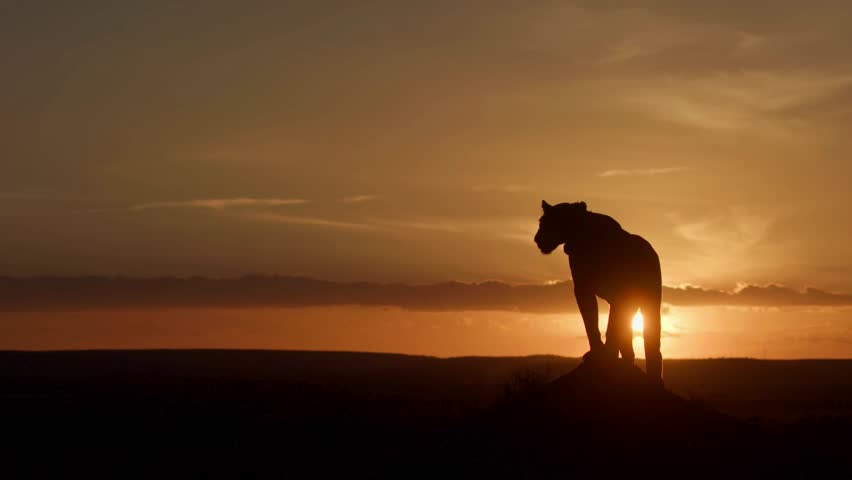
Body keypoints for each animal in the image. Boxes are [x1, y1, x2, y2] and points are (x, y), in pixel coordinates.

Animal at [534, 200, 663, 383]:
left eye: (552, 221)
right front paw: (597, 353)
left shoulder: (619, 295)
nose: (537, 238)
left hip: (649, 301)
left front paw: (607, 354)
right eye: (541, 221)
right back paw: (627, 360)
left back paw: (654, 378)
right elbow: (591, 322)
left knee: (652, 338)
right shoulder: (583, 288)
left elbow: (612, 326)